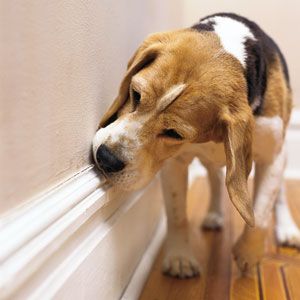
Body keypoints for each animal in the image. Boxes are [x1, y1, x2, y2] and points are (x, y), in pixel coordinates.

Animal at [92, 12, 298, 278]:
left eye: (174, 133)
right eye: (135, 94)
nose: (105, 158)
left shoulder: (272, 156)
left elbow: (261, 214)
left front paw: (248, 253)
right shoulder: (175, 163)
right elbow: (177, 214)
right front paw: (179, 257)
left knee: (278, 192)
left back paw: (287, 228)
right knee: (215, 177)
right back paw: (214, 214)